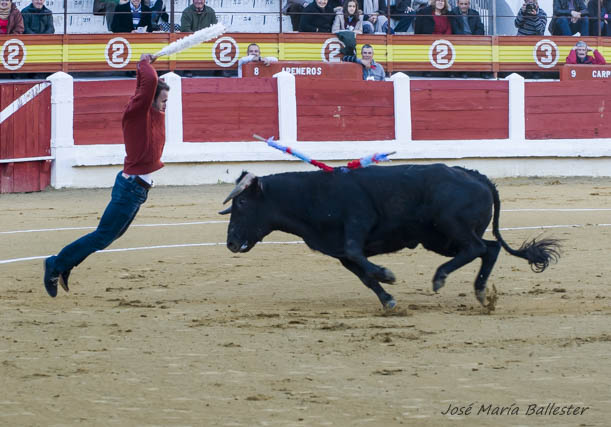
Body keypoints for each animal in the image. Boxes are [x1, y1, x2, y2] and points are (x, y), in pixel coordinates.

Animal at [220, 166, 560, 310]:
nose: (231, 243)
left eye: (242, 202)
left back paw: (441, 278)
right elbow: (364, 276)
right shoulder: (340, 254)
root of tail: (480, 177)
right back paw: (479, 293)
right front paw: (388, 299)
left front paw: (388, 274)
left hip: (449, 228)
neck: (310, 195)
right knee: (488, 248)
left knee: (479, 247)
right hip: (440, 239)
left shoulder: (356, 224)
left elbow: (361, 257)